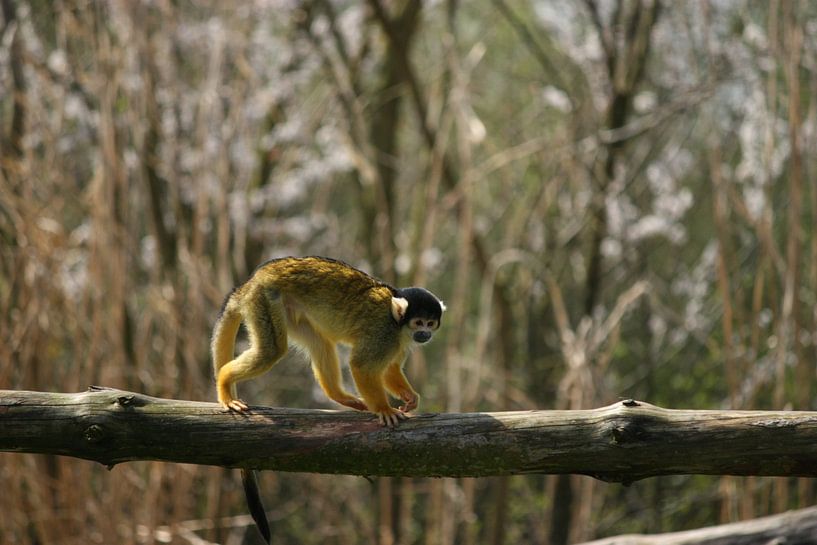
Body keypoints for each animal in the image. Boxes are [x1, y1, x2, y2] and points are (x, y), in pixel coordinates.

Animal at [211, 256, 445, 427]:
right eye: (419, 322)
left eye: (430, 323)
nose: (425, 334)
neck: (397, 323)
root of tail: (253, 279)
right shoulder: (384, 333)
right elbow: (362, 366)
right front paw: (384, 409)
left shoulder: (400, 341)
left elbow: (390, 369)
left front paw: (409, 397)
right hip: (266, 299)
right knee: (271, 350)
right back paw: (224, 381)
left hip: (291, 310)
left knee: (319, 343)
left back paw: (339, 396)